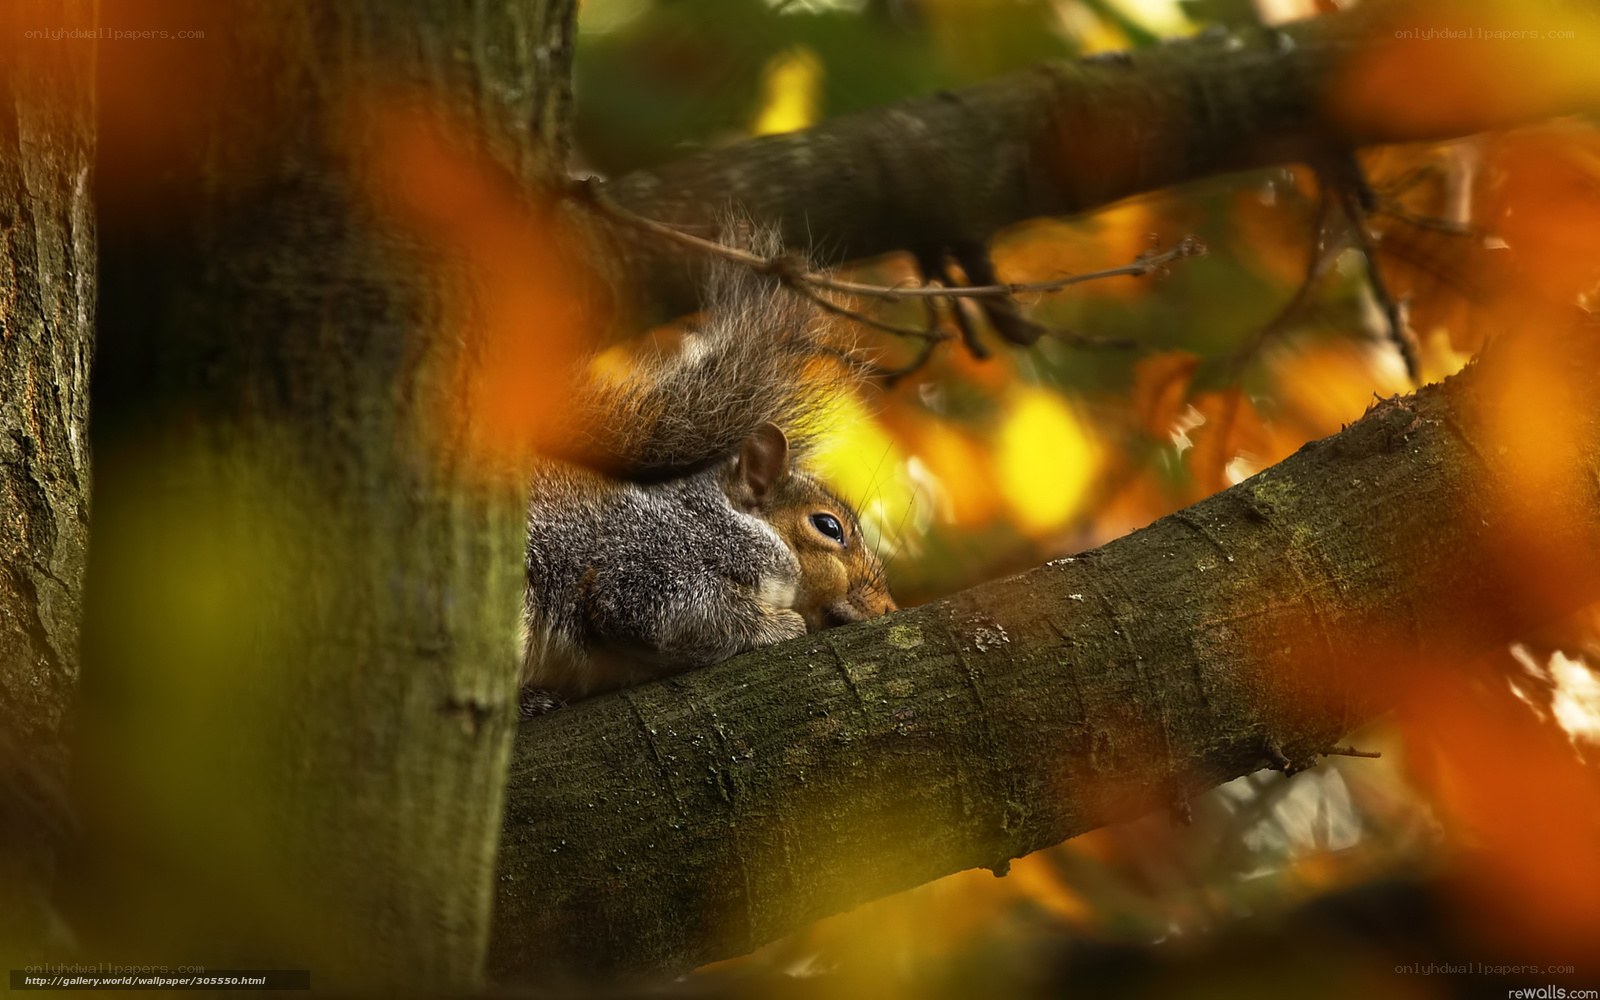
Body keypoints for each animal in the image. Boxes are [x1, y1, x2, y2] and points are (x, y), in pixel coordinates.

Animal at [520, 239, 897, 703]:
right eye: (828, 526)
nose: (888, 608)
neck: (713, 513)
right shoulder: (652, 556)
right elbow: (660, 610)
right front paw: (778, 625)